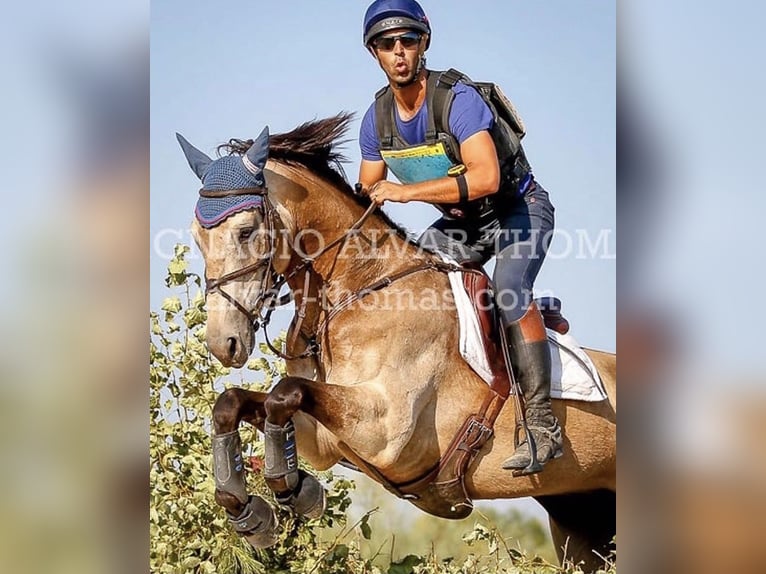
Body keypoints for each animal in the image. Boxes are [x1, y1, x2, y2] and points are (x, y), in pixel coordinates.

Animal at [180, 112, 616, 572]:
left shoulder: (386, 430)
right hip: (581, 523)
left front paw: (294, 491)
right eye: (197, 236)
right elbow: (235, 403)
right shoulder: (324, 438)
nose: (223, 343)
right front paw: (252, 508)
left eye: (246, 232)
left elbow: (285, 393)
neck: (361, 288)